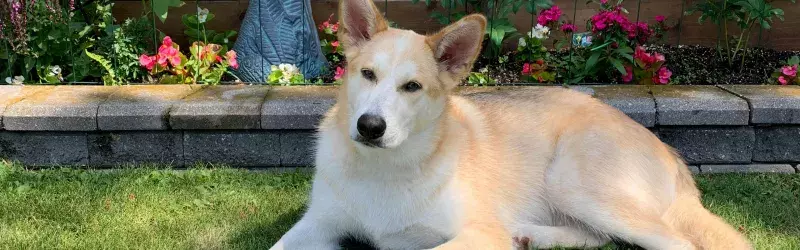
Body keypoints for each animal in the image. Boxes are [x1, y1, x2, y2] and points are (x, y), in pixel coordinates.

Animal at [272, 0, 752, 248]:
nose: (370, 126)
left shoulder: (476, 235)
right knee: (598, 238)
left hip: (574, 181)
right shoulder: (318, 226)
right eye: (368, 74)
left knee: (676, 243)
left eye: (412, 87)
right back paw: (529, 234)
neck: (384, 168)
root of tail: (670, 154)